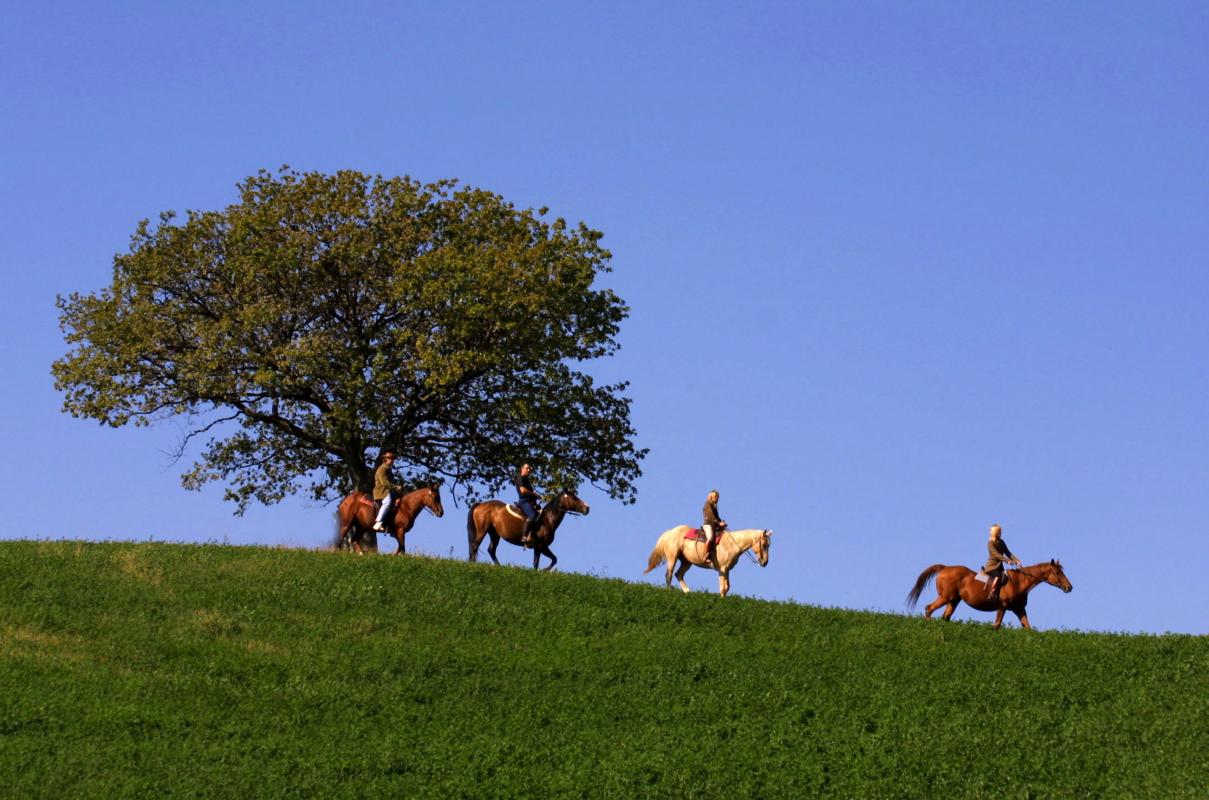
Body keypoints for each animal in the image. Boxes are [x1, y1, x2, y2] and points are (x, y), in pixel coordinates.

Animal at [643, 529, 773, 599]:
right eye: (764, 545)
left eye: (768, 545)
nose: (765, 562)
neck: (731, 545)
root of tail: (669, 532)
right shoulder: (722, 570)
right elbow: (723, 588)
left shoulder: (727, 570)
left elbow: (727, 587)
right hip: (672, 558)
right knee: (669, 575)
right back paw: (670, 591)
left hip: (686, 562)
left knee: (678, 574)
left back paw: (688, 592)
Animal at [909, 560, 1078, 628]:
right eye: (1057, 572)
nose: (1069, 587)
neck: (1019, 582)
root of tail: (944, 568)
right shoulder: (1002, 607)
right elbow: (996, 625)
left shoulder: (1019, 609)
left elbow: (1027, 627)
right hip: (945, 597)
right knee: (929, 608)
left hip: (953, 601)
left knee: (944, 617)